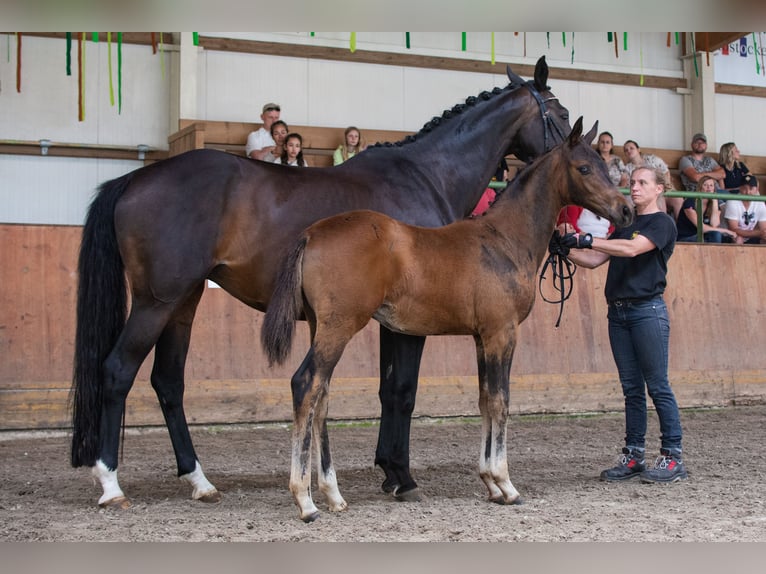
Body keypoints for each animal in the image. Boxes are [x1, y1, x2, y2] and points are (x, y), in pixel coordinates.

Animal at [72, 56, 572, 510]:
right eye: (563, 114)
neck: (427, 175)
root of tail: (134, 178)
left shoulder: (390, 321)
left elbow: (387, 391)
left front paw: (388, 472)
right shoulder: (408, 324)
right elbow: (402, 393)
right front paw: (401, 476)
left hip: (183, 303)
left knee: (167, 382)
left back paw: (200, 481)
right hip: (156, 302)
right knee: (117, 371)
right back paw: (111, 483)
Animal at [264, 119, 636, 524]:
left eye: (603, 166)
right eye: (584, 168)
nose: (626, 211)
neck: (504, 240)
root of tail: (311, 234)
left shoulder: (481, 337)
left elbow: (484, 399)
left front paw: (490, 483)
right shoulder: (502, 333)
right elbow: (501, 401)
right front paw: (506, 484)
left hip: (321, 328)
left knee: (322, 396)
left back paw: (333, 495)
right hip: (340, 327)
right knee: (306, 385)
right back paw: (306, 501)